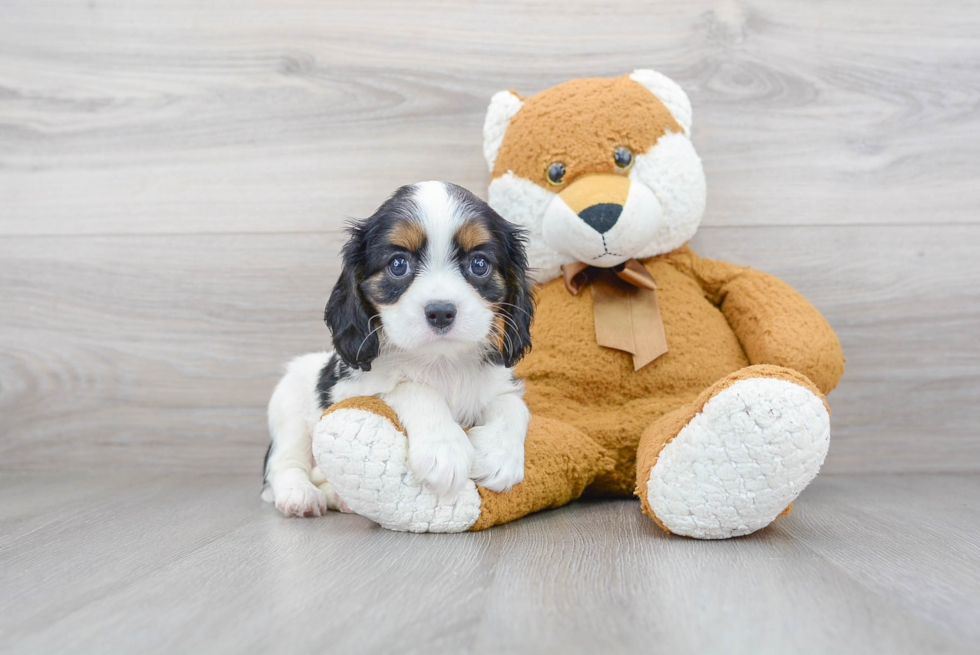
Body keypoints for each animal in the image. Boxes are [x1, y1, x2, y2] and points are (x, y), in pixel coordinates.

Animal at [264, 181, 532, 516]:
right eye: (398, 265)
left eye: (479, 264)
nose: (441, 312)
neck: (440, 360)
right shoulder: (352, 391)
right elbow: (413, 388)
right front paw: (444, 447)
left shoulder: (499, 383)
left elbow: (514, 406)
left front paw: (499, 455)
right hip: (288, 405)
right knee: (283, 464)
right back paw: (299, 495)